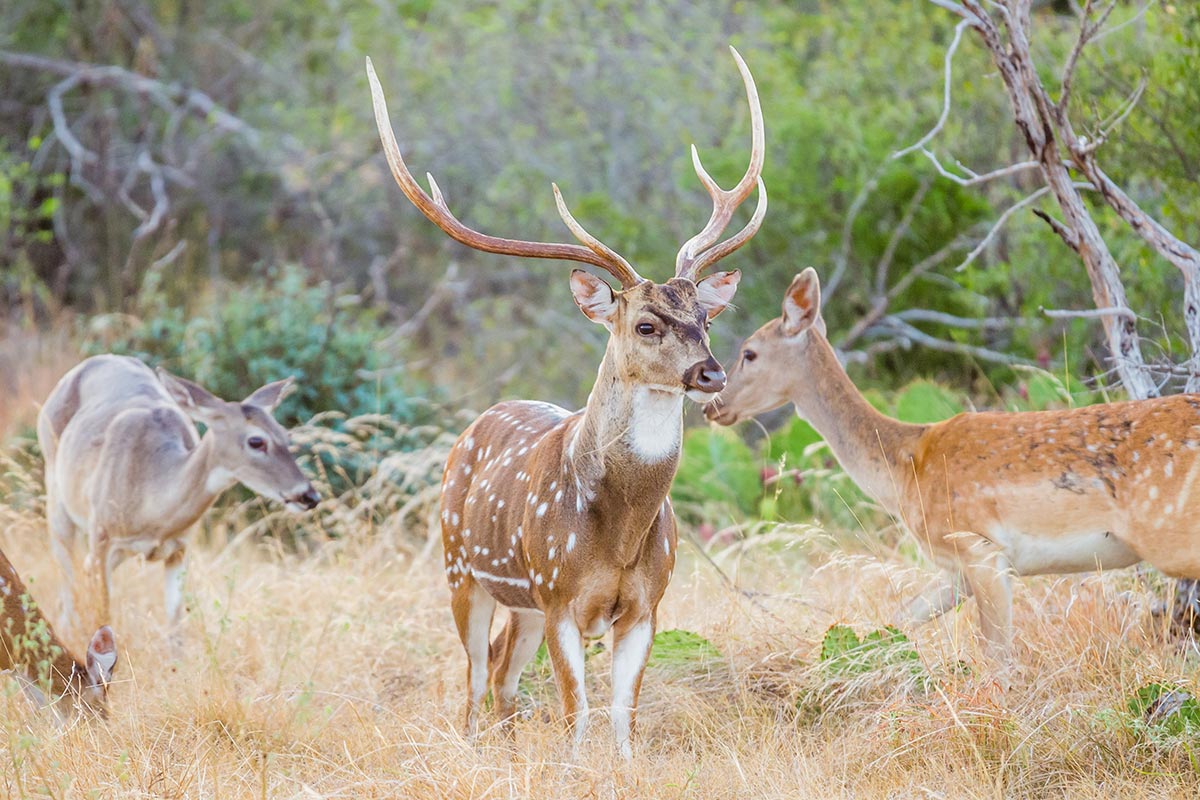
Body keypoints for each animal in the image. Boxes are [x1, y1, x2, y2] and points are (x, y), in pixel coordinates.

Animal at [38, 352, 321, 642]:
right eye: (256, 441)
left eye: (286, 435)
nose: (308, 495)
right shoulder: (102, 536)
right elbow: (104, 617)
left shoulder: (181, 547)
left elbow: (175, 625)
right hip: (56, 490)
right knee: (67, 575)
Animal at [362, 48, 768, 758]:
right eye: (646, 325)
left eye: (706, 319)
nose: (711, 372)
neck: (619, 531)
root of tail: (473, 426)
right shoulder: (560, 598)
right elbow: (576, 712)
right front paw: (575, 767)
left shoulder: (647, 603)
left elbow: (623, 716)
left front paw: (621, 767)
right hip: (461, 567)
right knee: (474, 675)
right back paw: (475, 748)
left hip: (518, 601)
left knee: (502, 672)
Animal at [700, 268, 1200, 662]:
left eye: (749, 352)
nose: (713, 406)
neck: (904, 467)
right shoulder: (952, 569)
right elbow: (895, 620)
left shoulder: (980, 547)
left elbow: (999, 657)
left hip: (1172, 528)